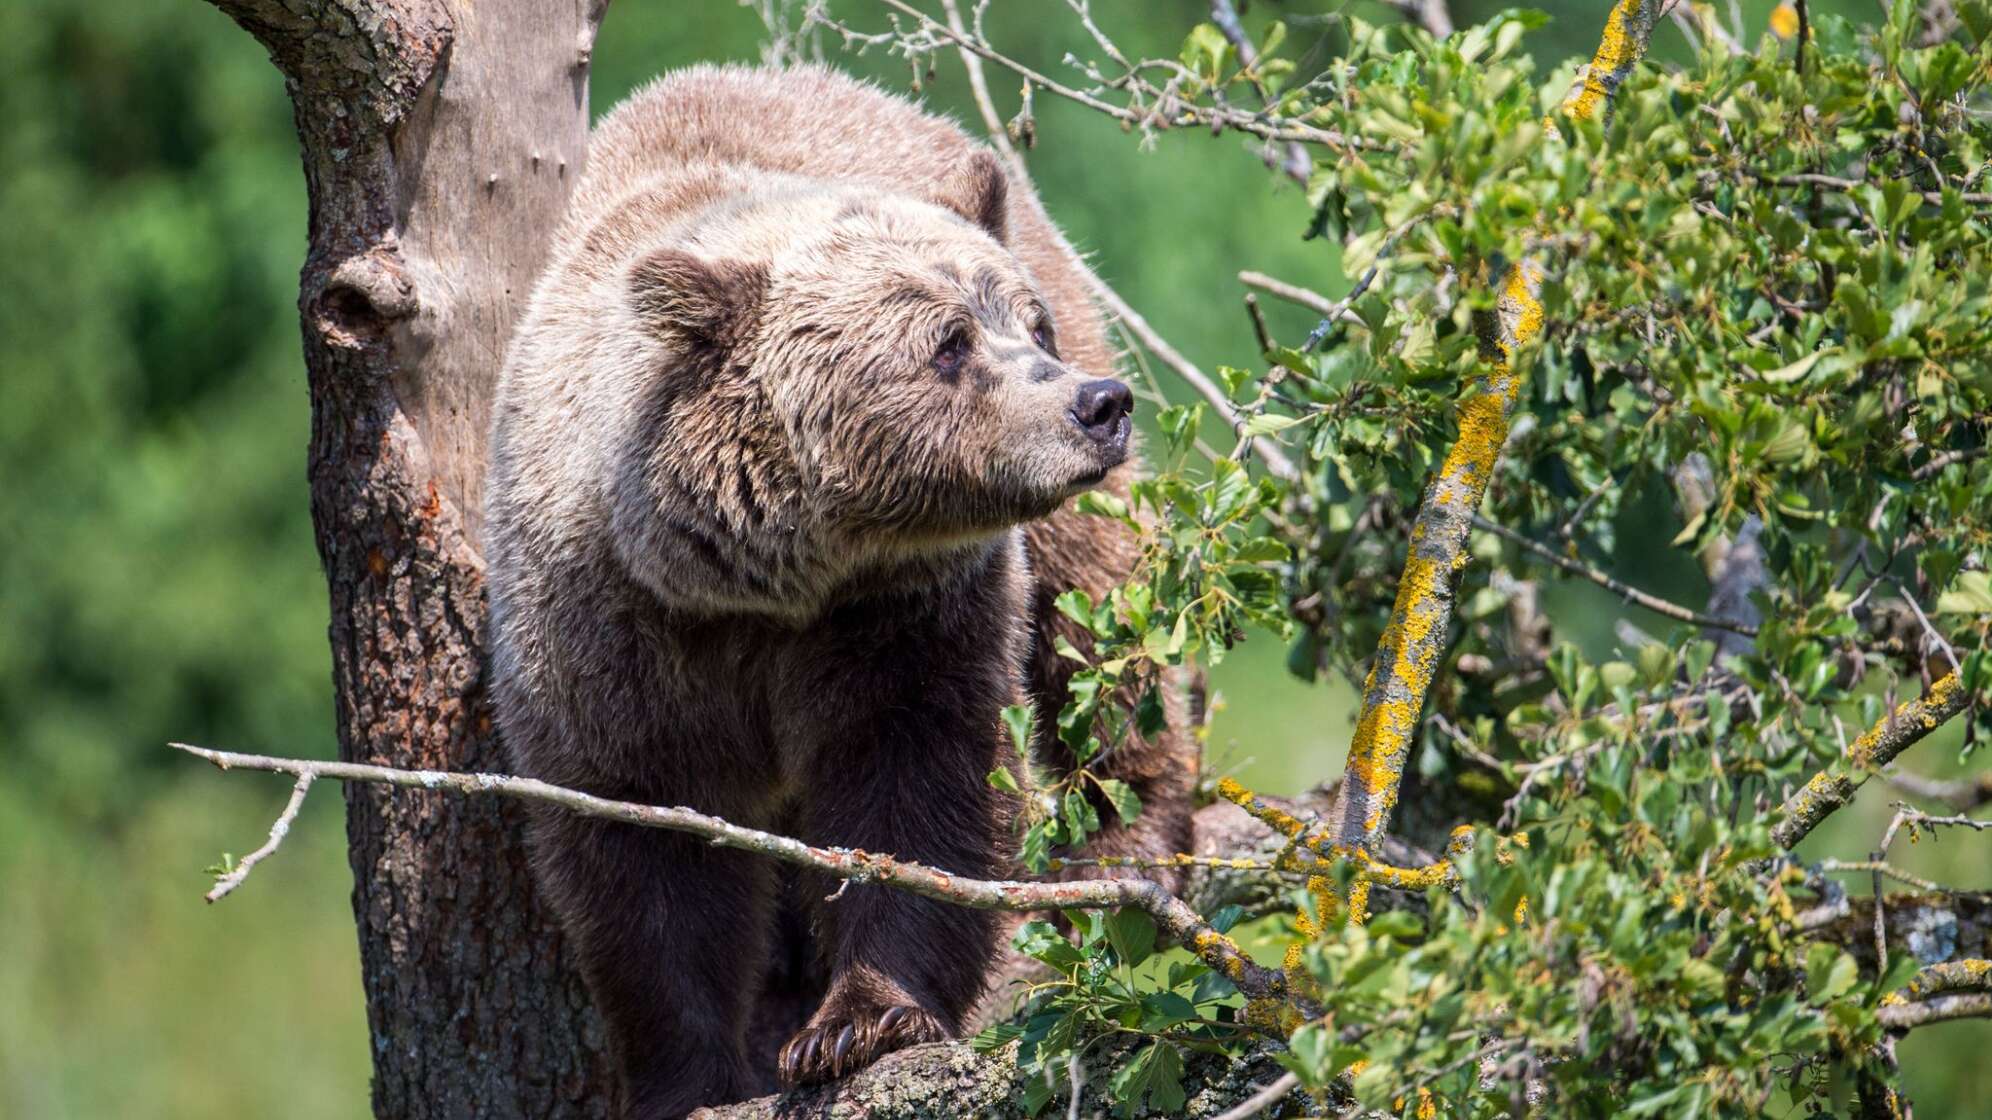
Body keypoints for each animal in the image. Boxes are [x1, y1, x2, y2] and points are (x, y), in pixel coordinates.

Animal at [488, 63, 1187, 1116]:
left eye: (1030, 324)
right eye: (948, 342)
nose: (1096, 404)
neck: (770, 580)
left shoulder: (906, 614)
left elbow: (921, 785)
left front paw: (859, 1022)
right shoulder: (610, 635)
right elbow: (643, 852)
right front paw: (691, 1073)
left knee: (1097, 622)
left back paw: (1129, 837)